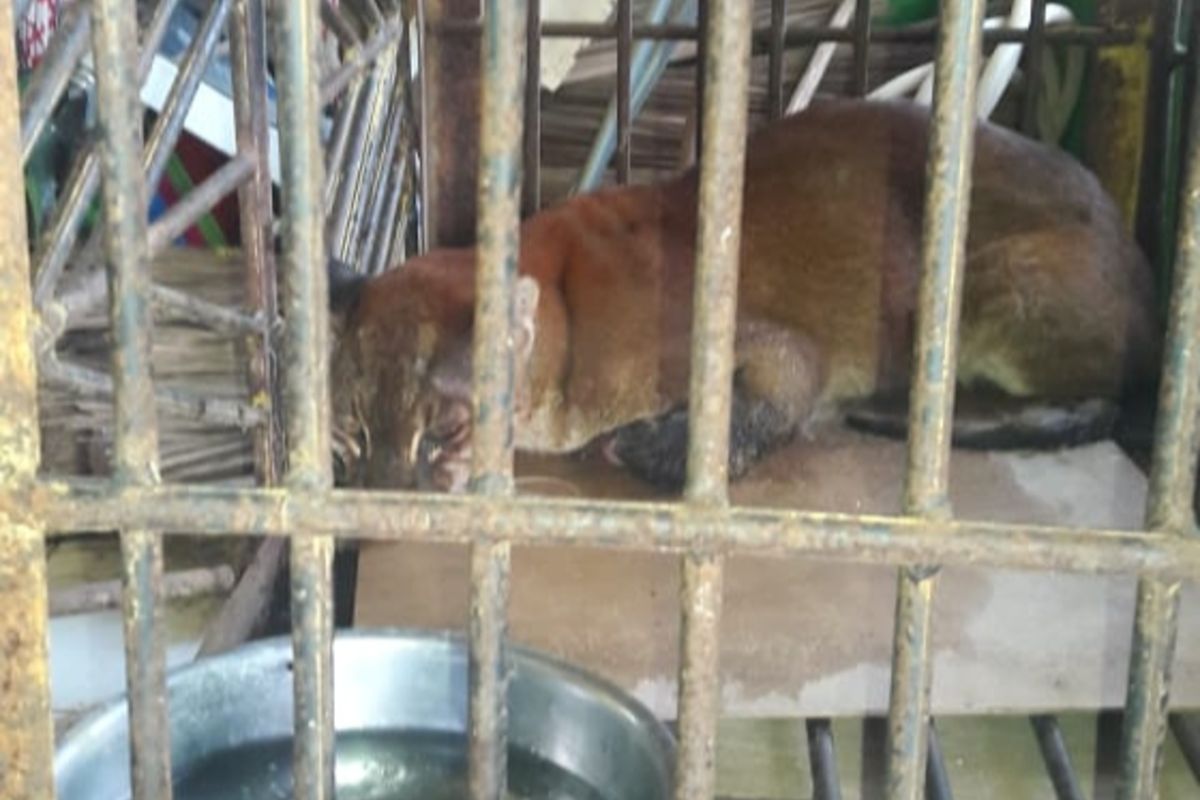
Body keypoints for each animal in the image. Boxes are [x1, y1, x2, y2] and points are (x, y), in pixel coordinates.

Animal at [324, 97, 1156, 491]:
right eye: (352, 433)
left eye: (445, 429)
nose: (386, 494)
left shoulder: (742, 340)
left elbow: (776, 395)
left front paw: (651, 444)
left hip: (1000, 280)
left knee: (1108, 396)